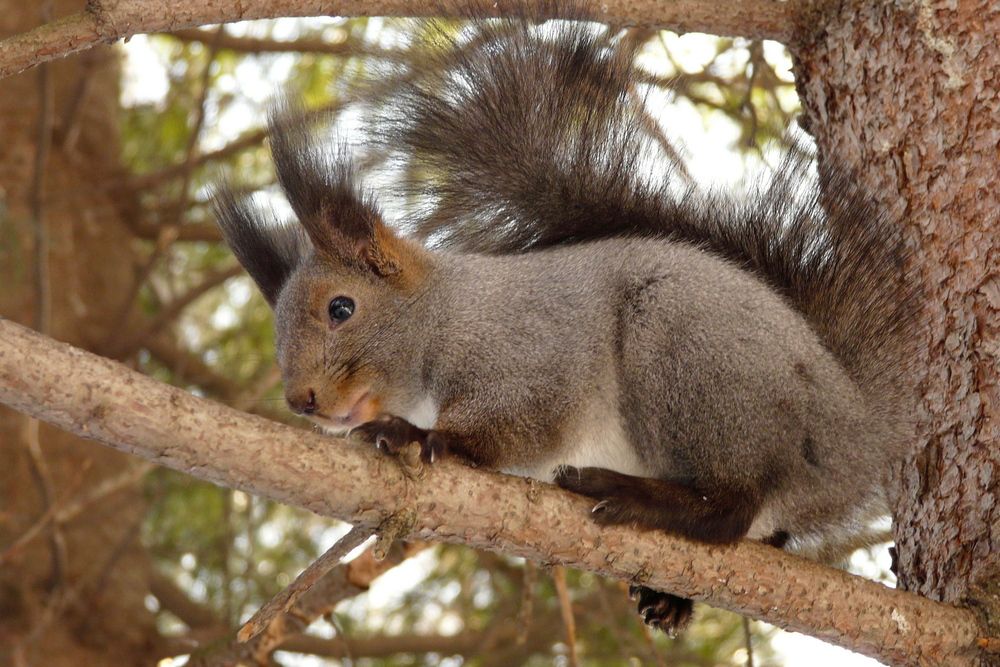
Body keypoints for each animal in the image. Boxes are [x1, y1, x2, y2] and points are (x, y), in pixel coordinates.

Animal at [213, 3, 922, 634]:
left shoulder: (534, 351)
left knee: (729, 509)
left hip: (691, 354)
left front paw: (420, 437)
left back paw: (640, 497)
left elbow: (520, 423)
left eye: (342, 308)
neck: (449, 314)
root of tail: (859, 424)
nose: (301, 400)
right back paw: (668, 598)